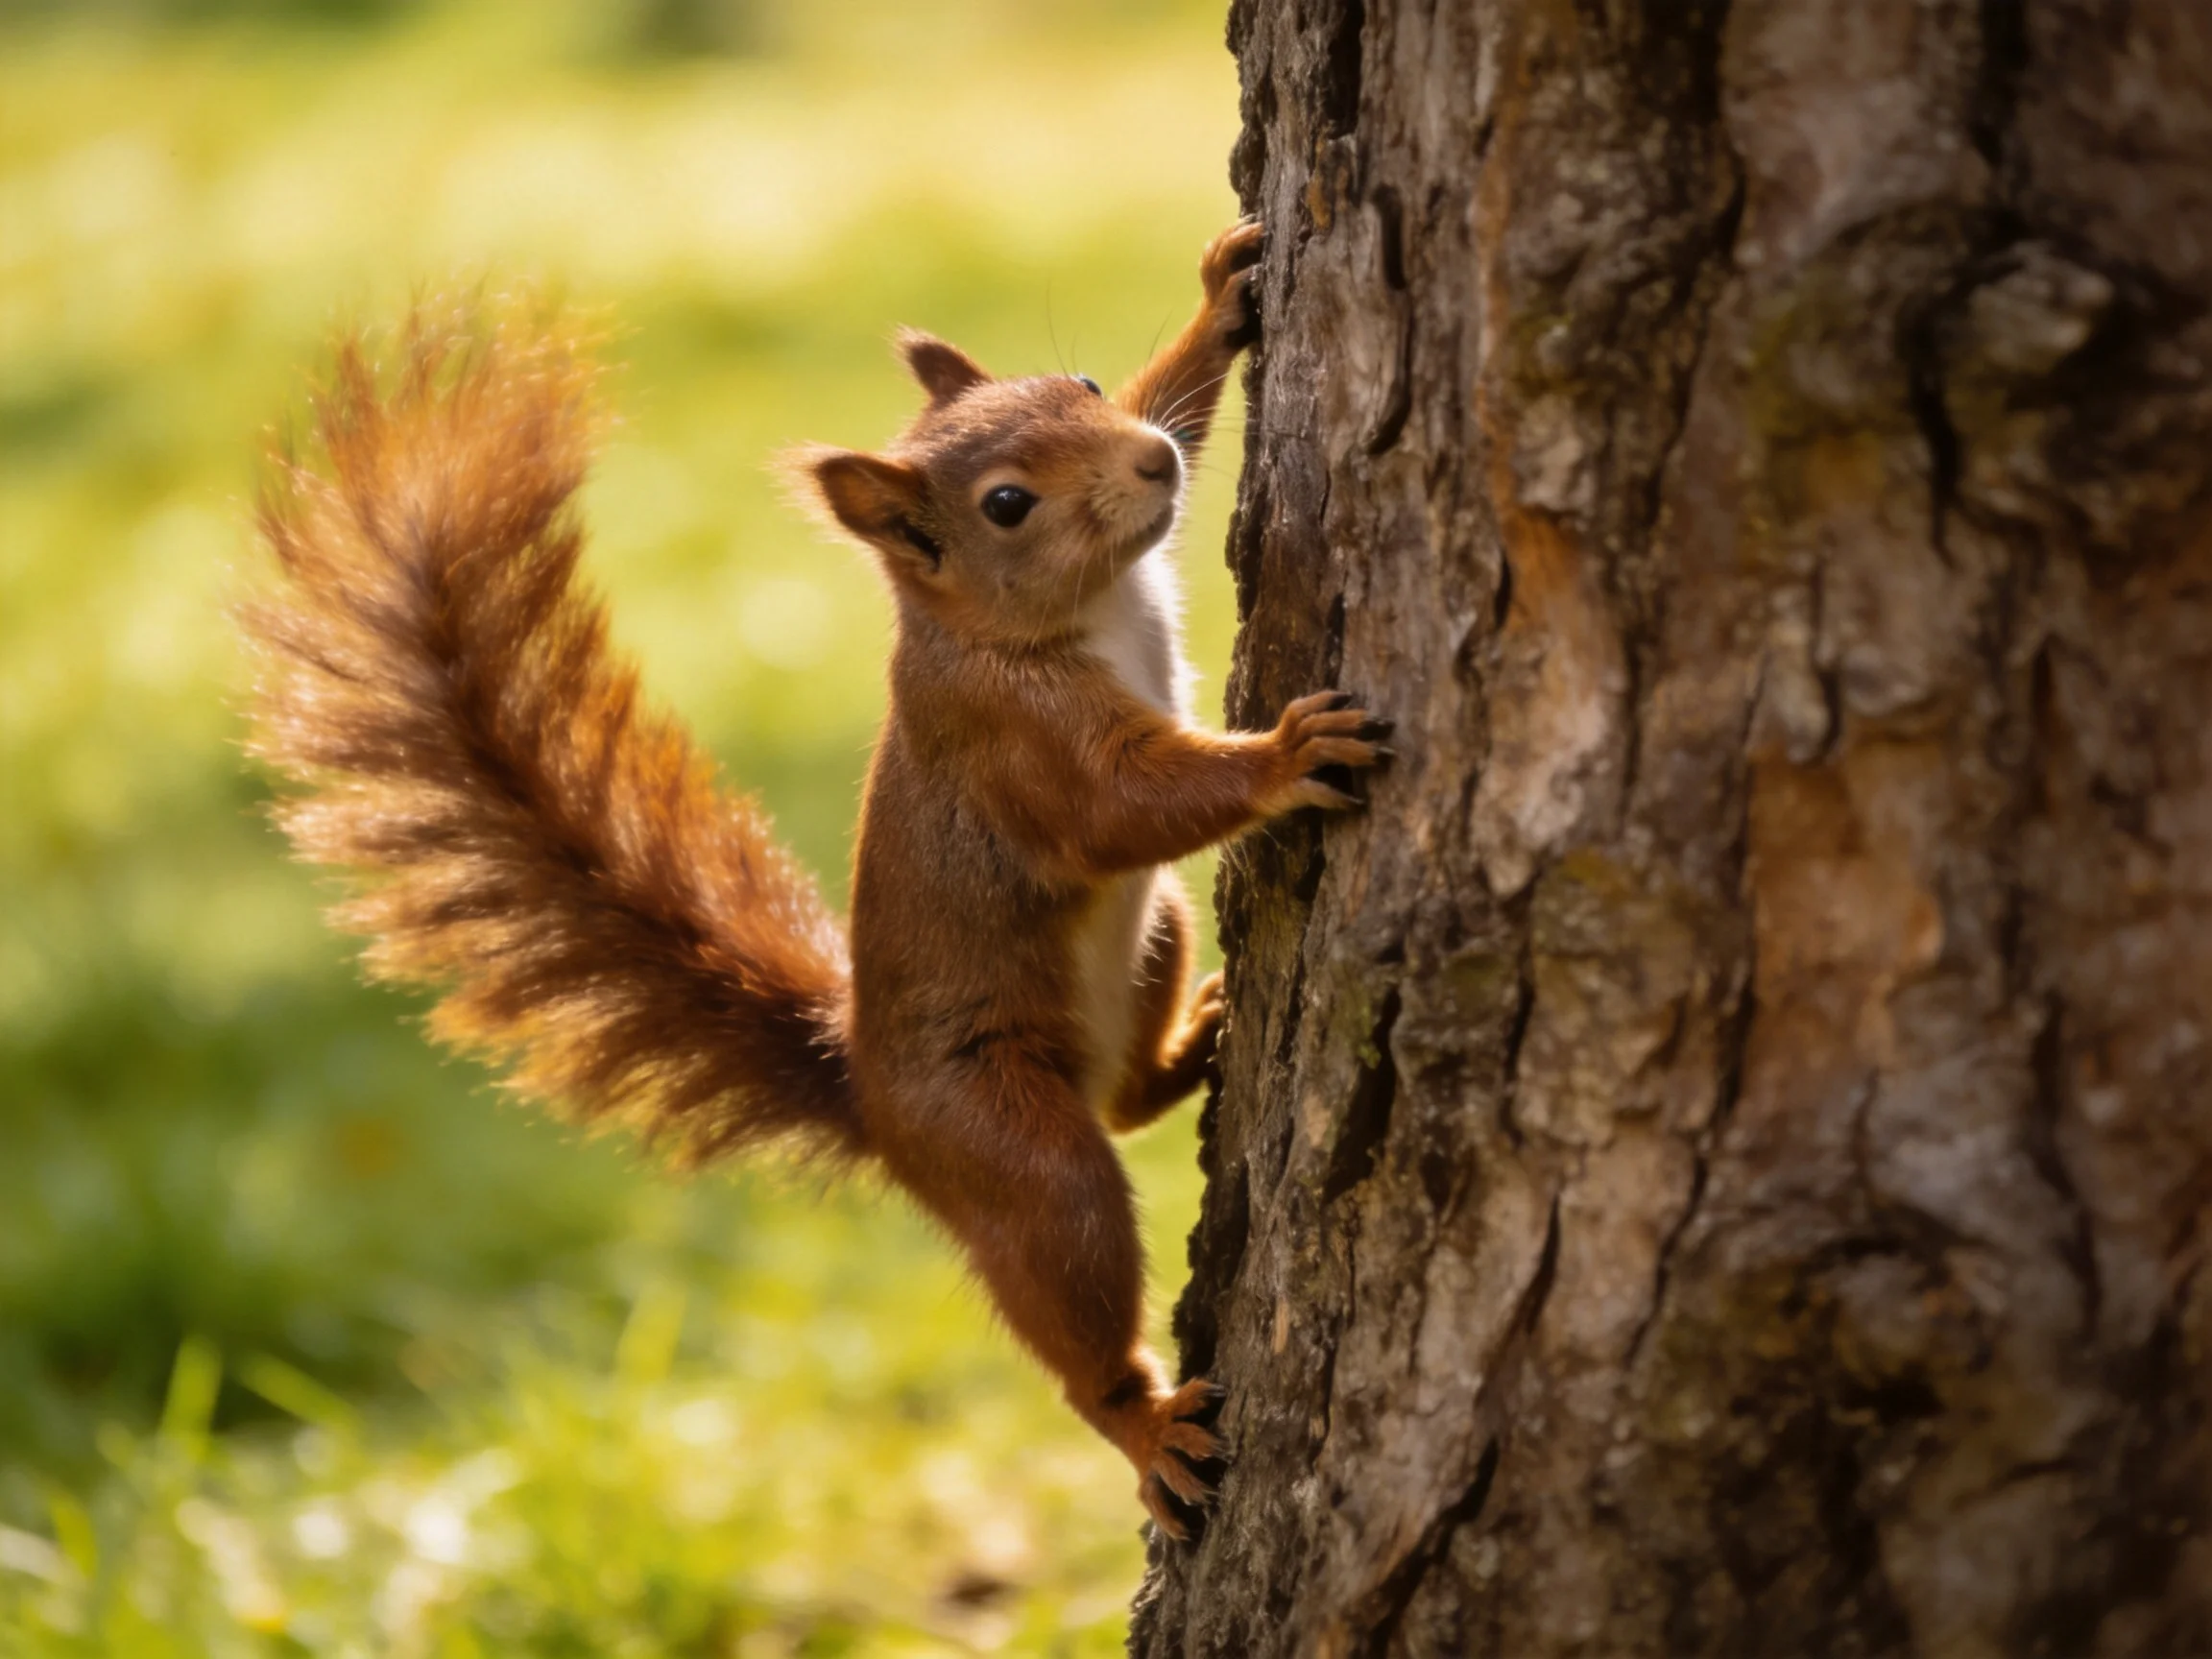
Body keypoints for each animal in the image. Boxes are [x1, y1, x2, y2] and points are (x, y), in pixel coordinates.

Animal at [244, 219, 1388, 1539]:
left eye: (1089, 386)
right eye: (1006, 505)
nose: (1146, 465)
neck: (1058, 615)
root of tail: (869, 1091)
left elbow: (1191, 401)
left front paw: (1219, 301)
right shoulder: (1011, 744)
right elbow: (1122, 810)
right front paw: (1285, 757)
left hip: (1151, 943)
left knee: (1128, 1096)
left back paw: (1190, 1044)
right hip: (1001, 1138)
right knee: (1072, 1249)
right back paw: (1142, 1421)